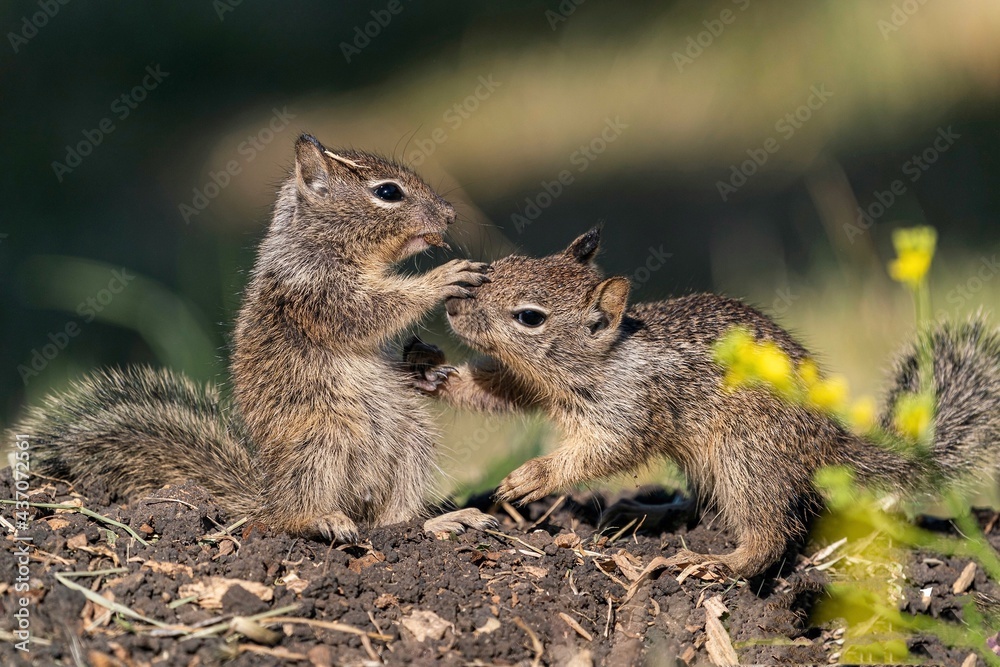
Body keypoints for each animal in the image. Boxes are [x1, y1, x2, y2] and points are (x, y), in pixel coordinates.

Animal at [12, 134, 497, 542]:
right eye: (388, 193)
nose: (450, 215)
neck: (315, 242)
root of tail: (265, 497)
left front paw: (425, 362)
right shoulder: (318, 293)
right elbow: (370, 312)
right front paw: (440, 279)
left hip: (411, 439)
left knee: (392, 520)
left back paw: (442, 521)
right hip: (322, 442)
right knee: (293, 518)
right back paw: (323, 520)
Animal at [407, 227, 1000, 578]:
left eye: (530, 317)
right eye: (503, 262)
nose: (453, 307)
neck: (603, 360)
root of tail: (828, 445)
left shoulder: (633, 409)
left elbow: (606, 452)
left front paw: (532, 476)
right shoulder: (533, 384)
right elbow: (498, 391)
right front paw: (430, 372)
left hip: (746, 455)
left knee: (770, 533)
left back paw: (716, 562)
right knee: (704, 504)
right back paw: (648, 509)